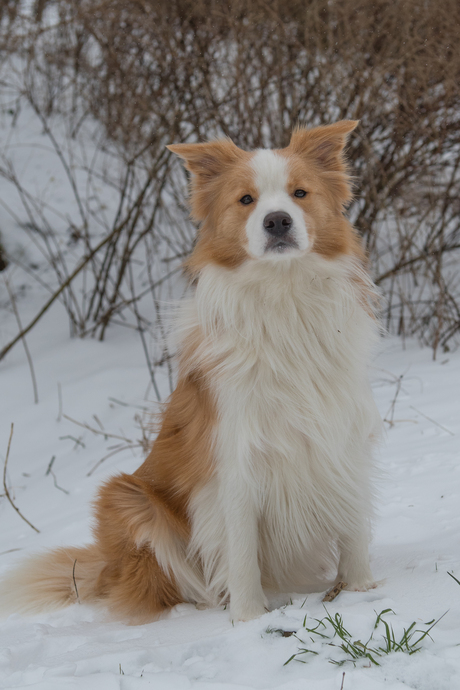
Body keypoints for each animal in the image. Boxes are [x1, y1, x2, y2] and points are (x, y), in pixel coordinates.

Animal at [0, 119, 380, 624]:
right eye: (246, 199)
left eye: (300, 193)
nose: (277, 221)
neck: (283, 297)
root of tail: (105, 571)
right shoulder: (236, 457)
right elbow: (241, 552)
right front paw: (248, 620)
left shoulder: (343, 433)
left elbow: (353, 524)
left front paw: (359, 591)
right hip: (126, 497)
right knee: (166, 586)